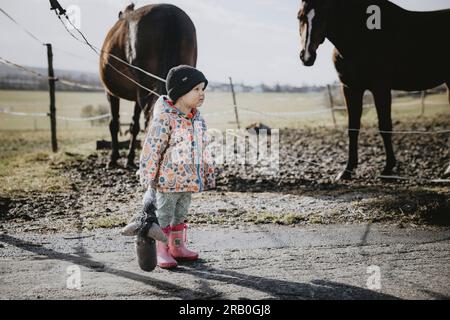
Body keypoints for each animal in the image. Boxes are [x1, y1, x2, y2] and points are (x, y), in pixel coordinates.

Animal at [100, 3, 197, 168]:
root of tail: (170, 13)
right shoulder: (135, 97)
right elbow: (133, 126)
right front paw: (129, 158)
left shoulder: (111, 93)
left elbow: (114, 124)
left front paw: (113, 158)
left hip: (145, 89)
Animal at [298, 0, 448, 180]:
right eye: (300, 17)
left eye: (324, 14)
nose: (307, 56)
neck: (361, 37)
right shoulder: (350, 89)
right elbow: (353, 128)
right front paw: (347, 171)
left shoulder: (380, 88)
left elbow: (384, 126)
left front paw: (387, 169)